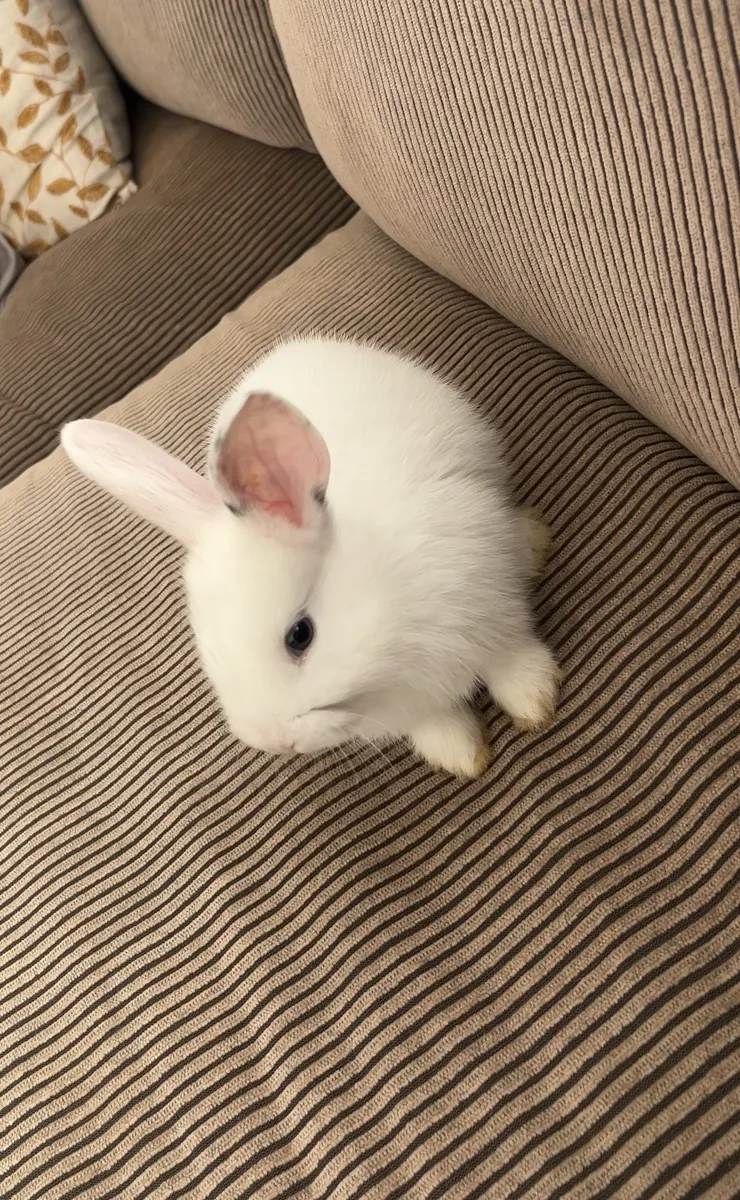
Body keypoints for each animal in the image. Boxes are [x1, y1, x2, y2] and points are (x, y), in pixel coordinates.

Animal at [61, 336, 560, 778]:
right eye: (208, 653)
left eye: (300, 635)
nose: (277, 742)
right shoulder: (412, 705)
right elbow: (435, 721)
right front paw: (461, 756)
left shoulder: (491, 598)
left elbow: (510, 655)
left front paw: (537, 702)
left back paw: (535, 541)